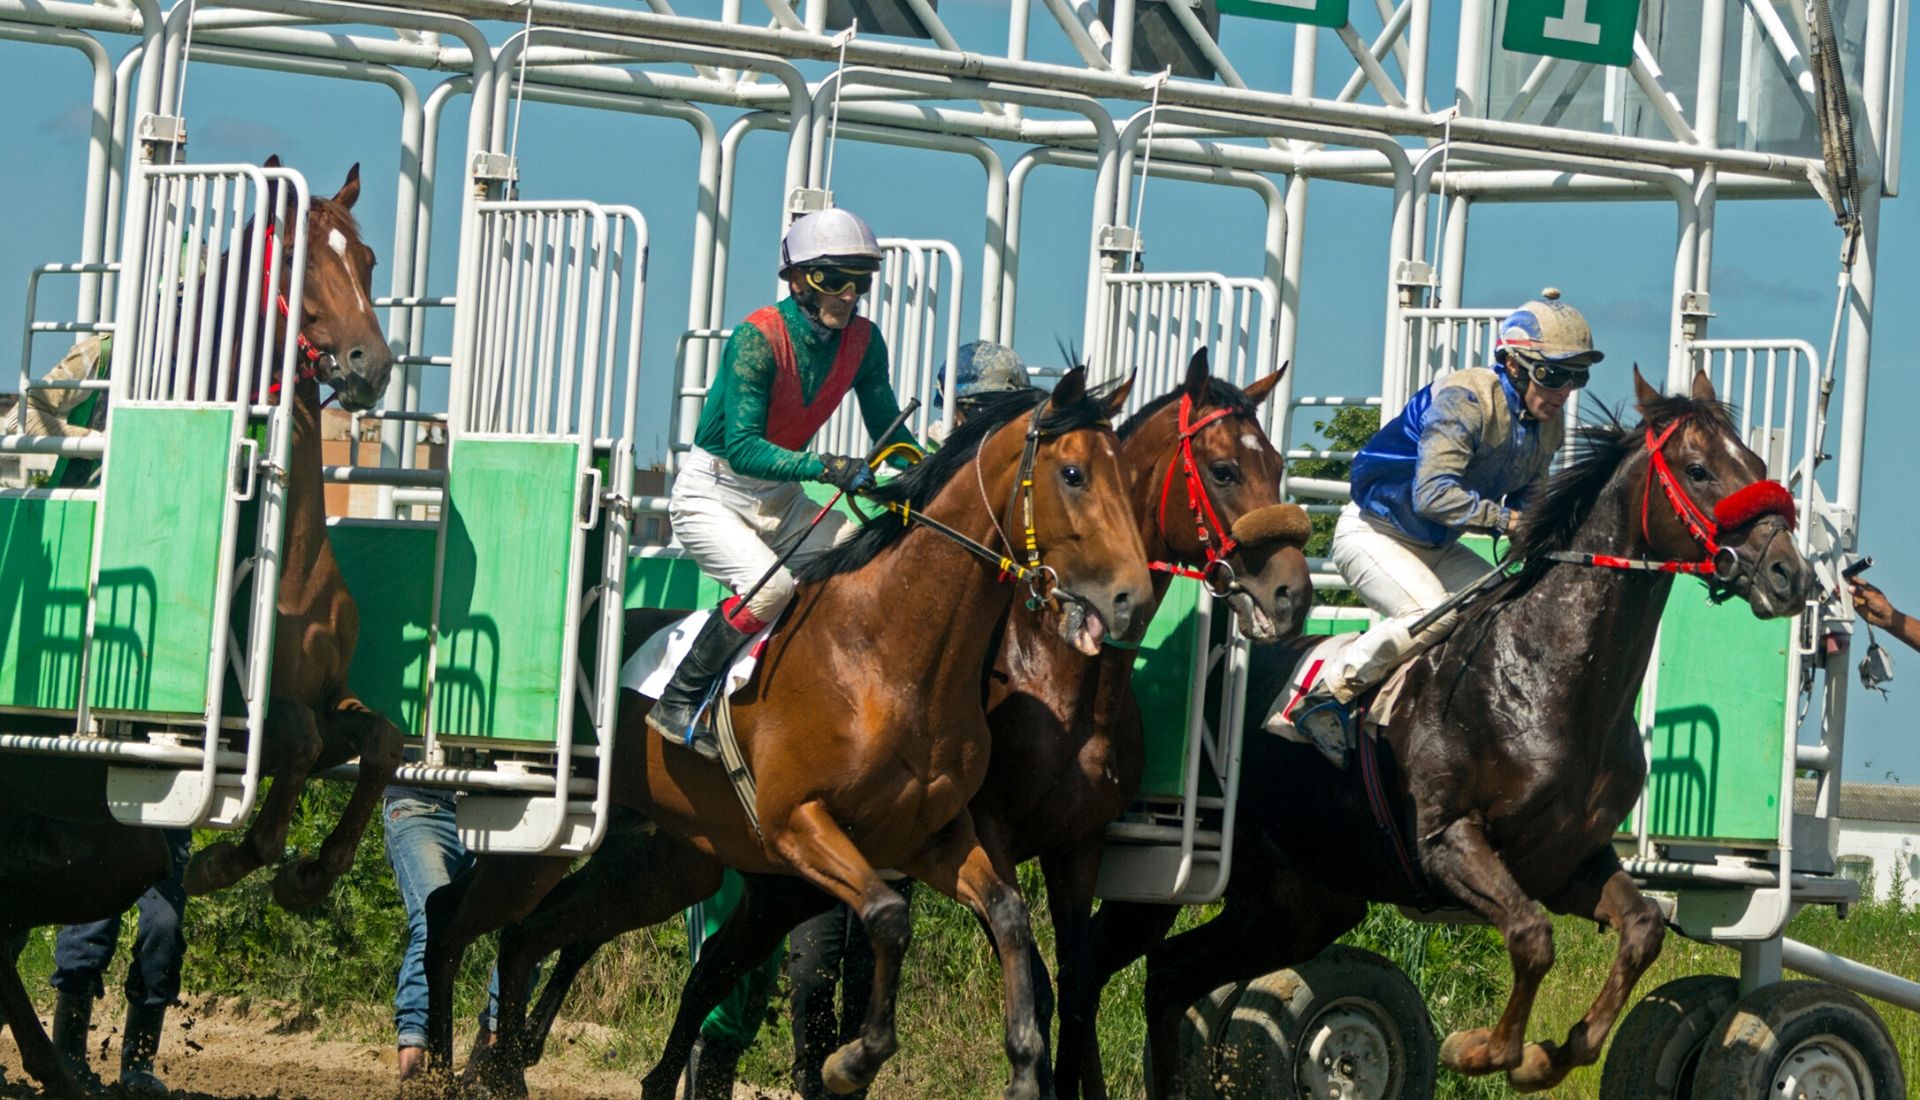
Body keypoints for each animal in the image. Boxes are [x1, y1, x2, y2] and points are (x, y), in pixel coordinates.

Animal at [0, 163, 397, 1098]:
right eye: (297, 257)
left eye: (366, 258)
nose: (370, 364)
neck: (286, 552)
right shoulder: (225, 718)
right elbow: (292, 745)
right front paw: (234, 861)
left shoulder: (329, 702)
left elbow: (381, 742)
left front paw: (309, 875)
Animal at [433, 347, 1313, 1090]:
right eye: (1225, 468)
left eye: (1278, 465)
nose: (1292, 595)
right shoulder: (817, 823)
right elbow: (899, 926)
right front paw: (852, 1061)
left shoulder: (1023, 841)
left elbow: (1036, 949)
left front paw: (1030, 1073)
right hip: (577, 831)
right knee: (470, 916)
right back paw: (449, 1063)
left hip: (672, 861)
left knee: (562, 937)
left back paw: (512, 1069)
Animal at [1067, 370, 1812, 1098]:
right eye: (1698, 469)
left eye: (1756, 465)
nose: (1790, 573)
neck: (1549, 679)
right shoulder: (1447, 842)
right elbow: (1532, 935)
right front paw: (1485, 1050)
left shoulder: (1570, 861)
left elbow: (1643, 929)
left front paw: (1554, 1055)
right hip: (1173, 863)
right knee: (1095, 964)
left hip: (1299, 903)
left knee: (1169, 975)